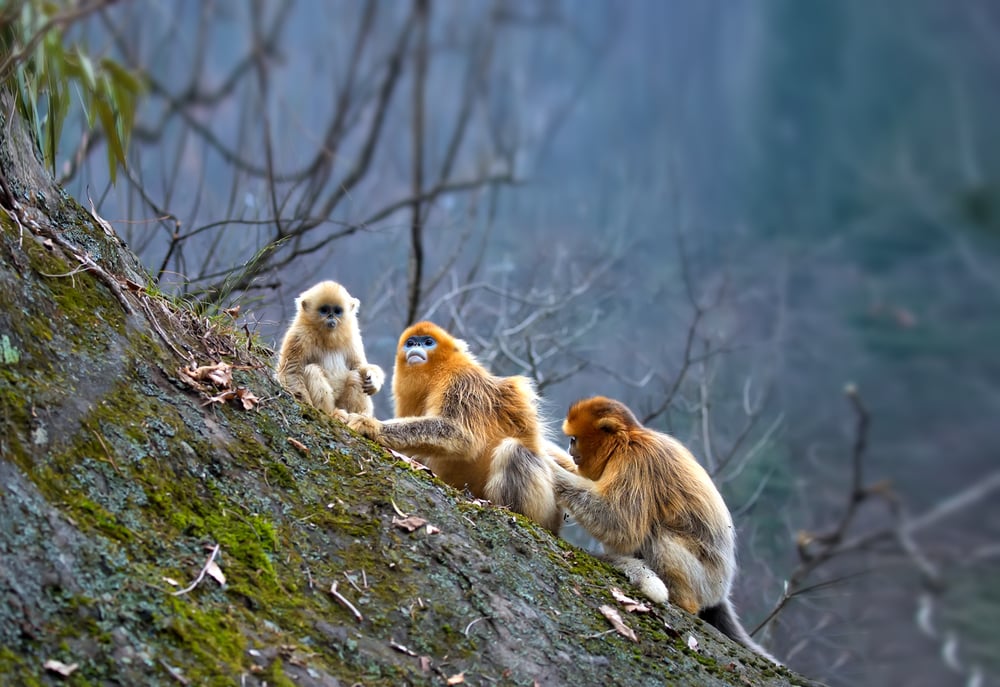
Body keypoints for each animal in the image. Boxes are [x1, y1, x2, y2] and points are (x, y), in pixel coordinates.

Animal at [275, 281, 385, 417]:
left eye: (337, 311)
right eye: (324, 310)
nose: (331, 316)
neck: (328, 337)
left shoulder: (353, 337)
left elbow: (359, 366)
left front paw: (374, 380)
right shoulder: (298, 335)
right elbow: (291, 371)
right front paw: (307, 407)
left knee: (356, 376)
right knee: (312, 370)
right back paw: (332, 414)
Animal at [342, 321, 565, 533]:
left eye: (428, 342)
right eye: (411, 342)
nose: (415, 347)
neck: (438, 371)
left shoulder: (462, 381)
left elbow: (461, 434)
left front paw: (371, 425)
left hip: (545, 509)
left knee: (515, 451)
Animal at [552, 396, 778, 663]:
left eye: (574, 439)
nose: (570, 450)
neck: (628, 440)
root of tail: (721, 590)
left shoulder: (637, 461)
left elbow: (620, 524)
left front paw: (554, 472)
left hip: (703, 582)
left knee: (659, 536)